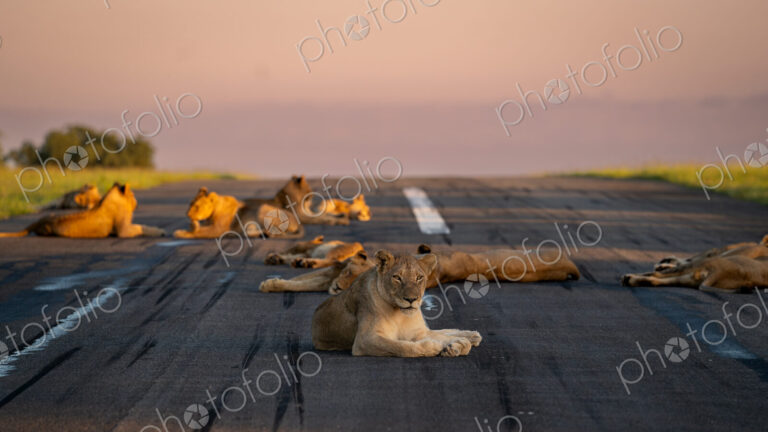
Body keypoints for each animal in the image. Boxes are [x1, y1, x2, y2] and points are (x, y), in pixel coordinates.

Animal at [0, 183, 165, 238]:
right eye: (133, 195)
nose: (137, 203)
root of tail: (36, 221)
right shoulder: (123, 231)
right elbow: (141, 227)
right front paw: (160, 231)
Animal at [173, 186, 304, 239]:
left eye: (197, 206)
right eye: (190, 204)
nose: (188, 215)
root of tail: (298, 222)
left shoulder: (218, 229)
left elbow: (200, 232)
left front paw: (180, 233)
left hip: (262, 209)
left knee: (279, 233)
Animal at [311, 250, 483, 357]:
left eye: (419, 278)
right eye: (397, 278)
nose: (411, 299)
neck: (400, 314)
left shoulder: (416, 332)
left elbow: (440, 335)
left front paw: (457, 345)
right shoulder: (365, 340)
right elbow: (402, 347)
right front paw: (435, 347)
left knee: (444, 331)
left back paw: (471, 336)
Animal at [622, 235, 768, 292]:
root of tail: (720, 273)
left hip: (695, 268)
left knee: (657, 275)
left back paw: (629, 278)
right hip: (689, 278)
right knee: (657, 280)